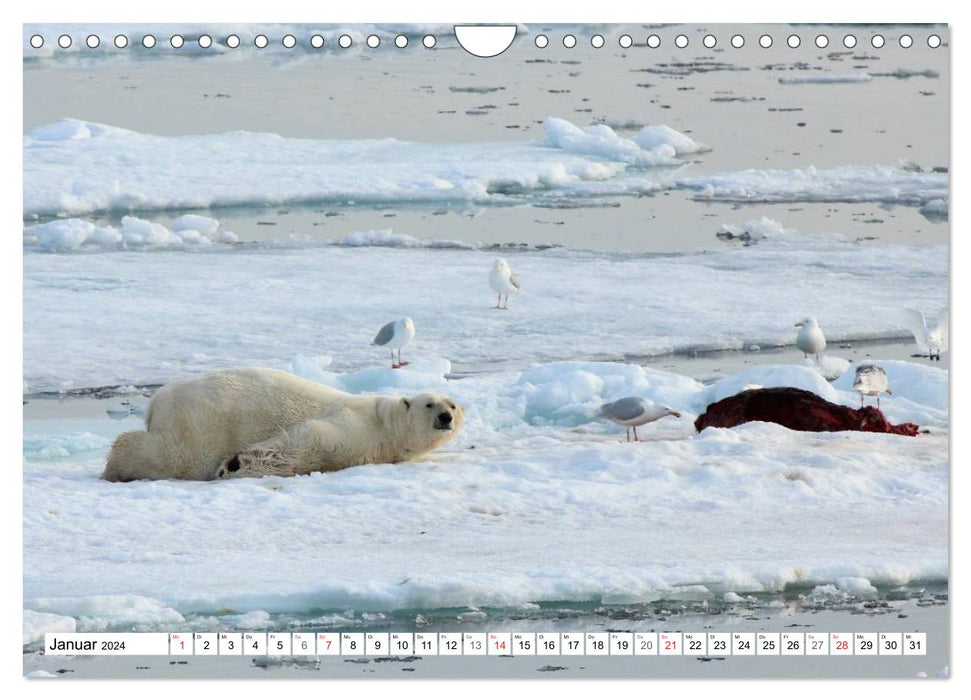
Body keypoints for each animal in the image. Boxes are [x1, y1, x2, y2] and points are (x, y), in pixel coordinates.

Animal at [100, 366, 466, 482]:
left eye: (453, 404)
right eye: (430, 403)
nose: (446, 417)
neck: (385, 424)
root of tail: (155, 403)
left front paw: (235, 464)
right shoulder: (352, 423)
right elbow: (310, 441)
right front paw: (236, 464)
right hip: (202, 420)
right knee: (177, 456)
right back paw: (117, 466)